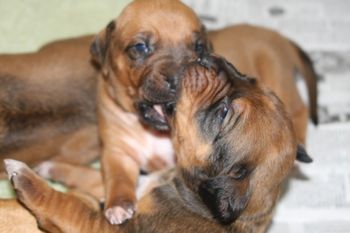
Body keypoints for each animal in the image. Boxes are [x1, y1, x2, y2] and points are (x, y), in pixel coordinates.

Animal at [2, 55, 308, 233]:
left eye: (223, 113)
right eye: (249, 78)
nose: (212, 59)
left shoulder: (110, 227)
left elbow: (69, 205)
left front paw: (25, 177)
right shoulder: (134, 186)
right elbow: (103, 180)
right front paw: (51, 168)